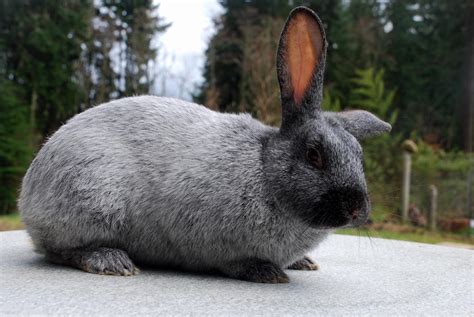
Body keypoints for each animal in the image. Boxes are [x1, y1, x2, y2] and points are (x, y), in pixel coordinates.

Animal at [18, 6, 388, 284]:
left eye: (359, 155)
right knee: (59, 250)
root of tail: (29, 192)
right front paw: (267, 272)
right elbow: (234, 262)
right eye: (314, 155)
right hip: (91, 198)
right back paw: (111, 261)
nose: (357, 210)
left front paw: (302, 262)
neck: (265, 170)